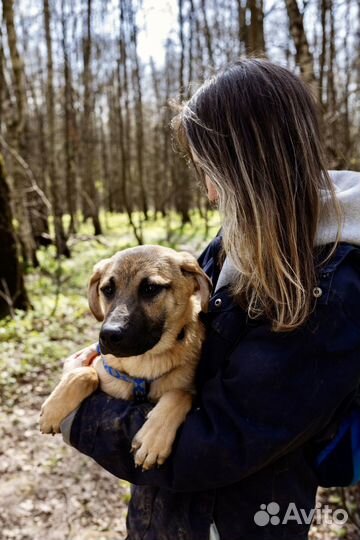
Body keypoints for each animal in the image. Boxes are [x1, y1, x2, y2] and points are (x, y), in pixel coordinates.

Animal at [40, 245, 211, 468]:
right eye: (107, 290)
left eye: (150, 288)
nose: (108, 335)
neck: (143, 362)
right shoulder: (99, 364)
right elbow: (86, 373)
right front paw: (53, 408)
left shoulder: (188, 387)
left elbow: (180, 394)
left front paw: (154, 438)